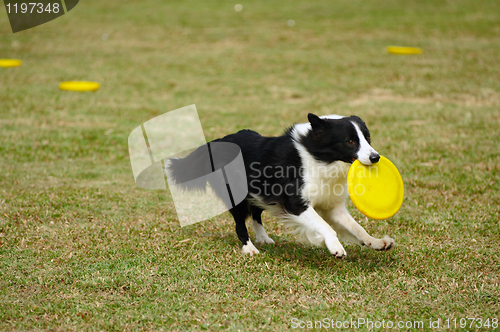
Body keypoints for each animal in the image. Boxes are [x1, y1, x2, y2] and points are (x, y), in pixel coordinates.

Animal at [168, 113, 394, 256]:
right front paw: (335, 247)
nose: (375, 158)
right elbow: (326, 226)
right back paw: (249, 248)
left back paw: (263, 238)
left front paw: (376, 242)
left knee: (256, 214)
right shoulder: (296, 203)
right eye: (350, 141)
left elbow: (356, 227)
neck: (318, 156)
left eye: (367, 138)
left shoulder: (332, 205)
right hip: (237, 194)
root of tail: (217, 142)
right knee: (240, 222)